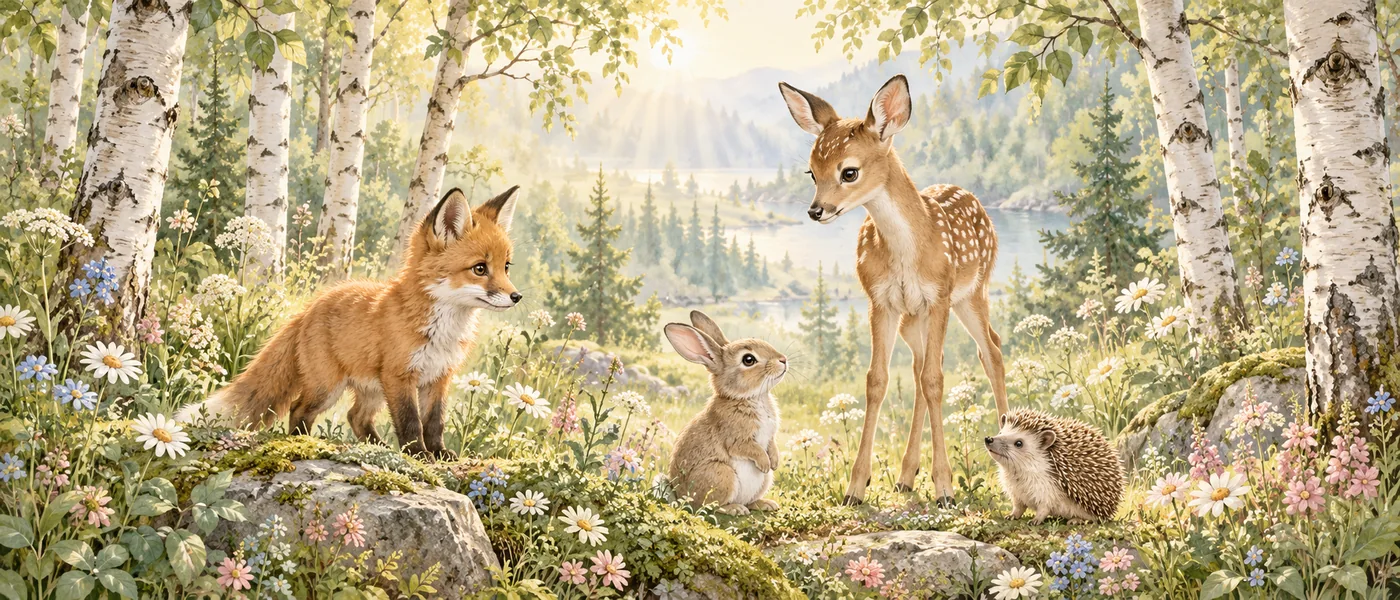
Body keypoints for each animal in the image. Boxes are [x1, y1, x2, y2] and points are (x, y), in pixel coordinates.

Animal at [177, 186, 523, 458]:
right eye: (480, 268)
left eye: (506, 266)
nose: (516, 296)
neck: (443, 330)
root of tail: (309, 308)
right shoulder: (400, 377)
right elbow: (411, 422)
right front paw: (418, 454)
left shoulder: (439, 377)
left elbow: (434, 422)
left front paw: (438, 453)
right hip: (328, 387)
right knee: (300, 409)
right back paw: (305, 442)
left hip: (371, 390)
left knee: (355, 417)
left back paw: (376, 447)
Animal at [665, 310, 789, 515]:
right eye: (748, 359)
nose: (783, 360)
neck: (749, 397)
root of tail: (682, 497)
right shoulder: (735, 438)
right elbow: (750, 448)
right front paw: (764, 463)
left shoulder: (770, 436)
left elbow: (771, 445)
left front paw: (774, 462)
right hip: (722, 474)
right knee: (709, 506)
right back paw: (735, 508)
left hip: (763, 482)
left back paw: (765, 504)